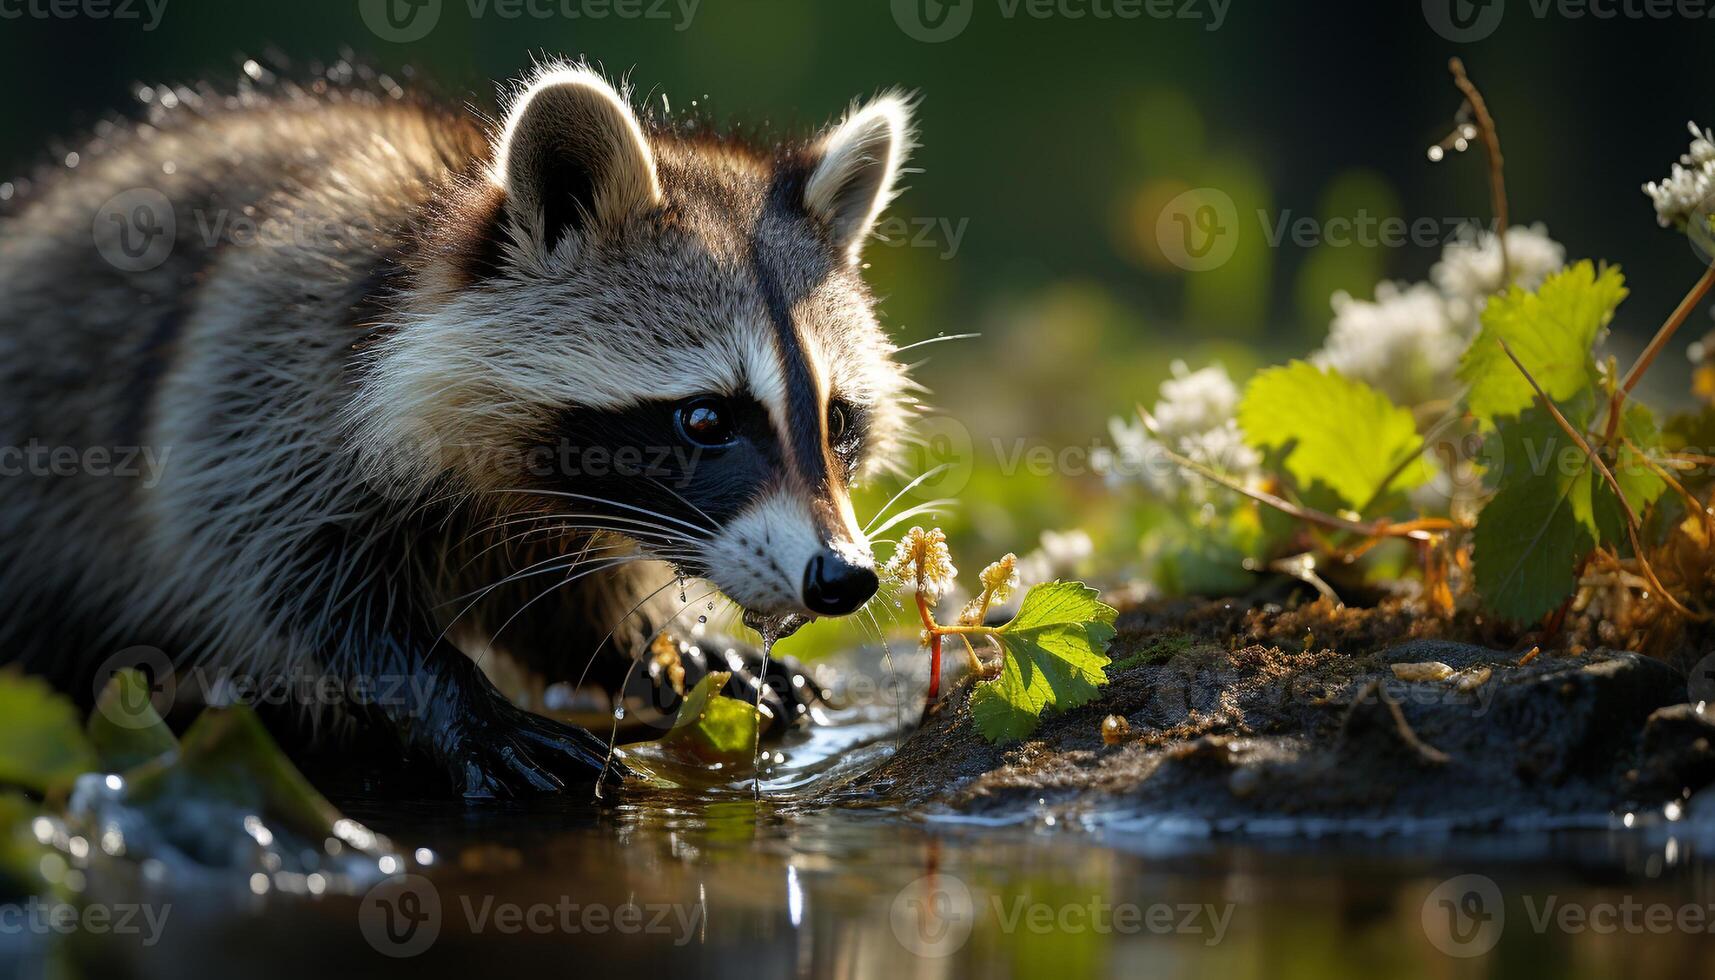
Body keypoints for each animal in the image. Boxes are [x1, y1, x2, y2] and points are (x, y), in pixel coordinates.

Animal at [0, 59, 926, 796]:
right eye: (705, 418)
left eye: (836, 419)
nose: (842, 577)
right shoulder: (268, 366)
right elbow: (272, 572)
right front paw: (447, 697)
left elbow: (556, 602)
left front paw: (647, 645)